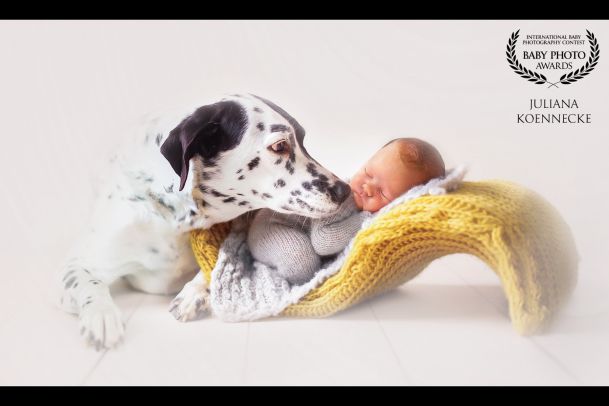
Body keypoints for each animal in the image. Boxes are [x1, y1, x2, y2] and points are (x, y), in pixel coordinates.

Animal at [58, 93, 352, 350]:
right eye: (279, 146)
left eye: (303, 140)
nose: (345, 190)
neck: (176, 219)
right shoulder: (76, 265)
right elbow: (89, 283)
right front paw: (101, 316)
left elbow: (218, 265)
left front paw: (193, 293)